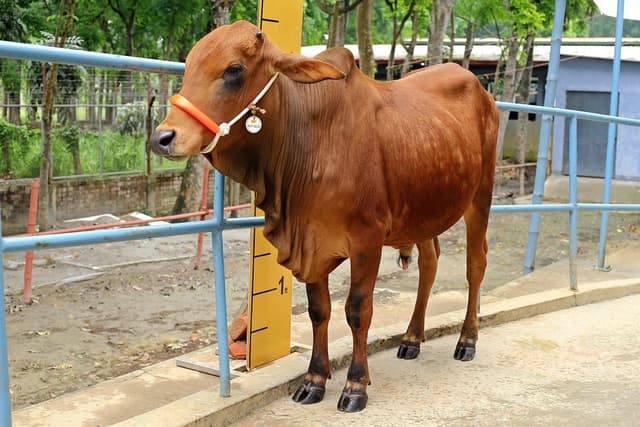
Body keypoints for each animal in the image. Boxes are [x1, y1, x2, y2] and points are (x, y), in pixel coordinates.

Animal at [150, 20, 498, 413]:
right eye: (190, 65)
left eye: (233, 70)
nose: (163, 137)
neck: (311, 141)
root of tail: (478, 88)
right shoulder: (310, 242)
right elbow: (320, 311)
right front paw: (314, 380)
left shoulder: (367, 240)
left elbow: (357, 311)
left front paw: (356, 386)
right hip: (424, 213)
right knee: (430, 263)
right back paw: (411, 338)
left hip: (480, 197)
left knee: (476, 264)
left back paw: (467, 341)